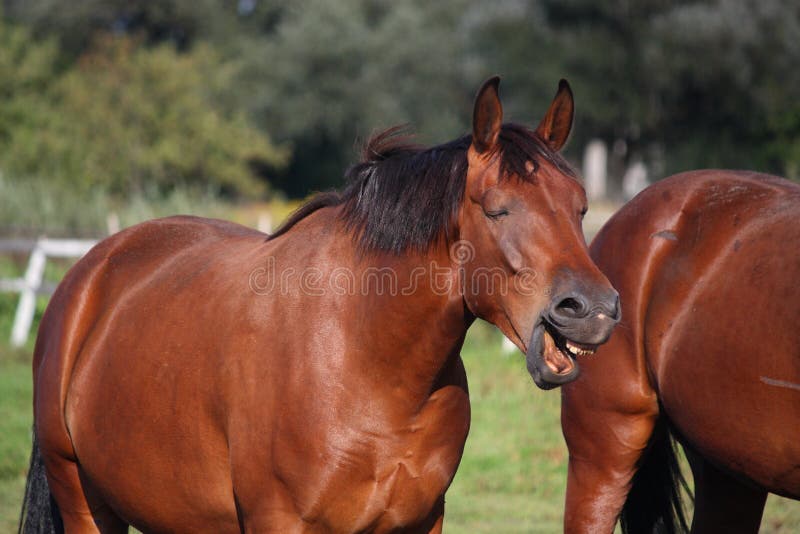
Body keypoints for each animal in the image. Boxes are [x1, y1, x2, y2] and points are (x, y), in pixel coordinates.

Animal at [17, 76, 620, 534]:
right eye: (497, 209)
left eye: (580, 207)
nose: (592, 309)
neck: (366, 361)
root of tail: (89, 275)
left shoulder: (422, 521)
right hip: (85, 502)